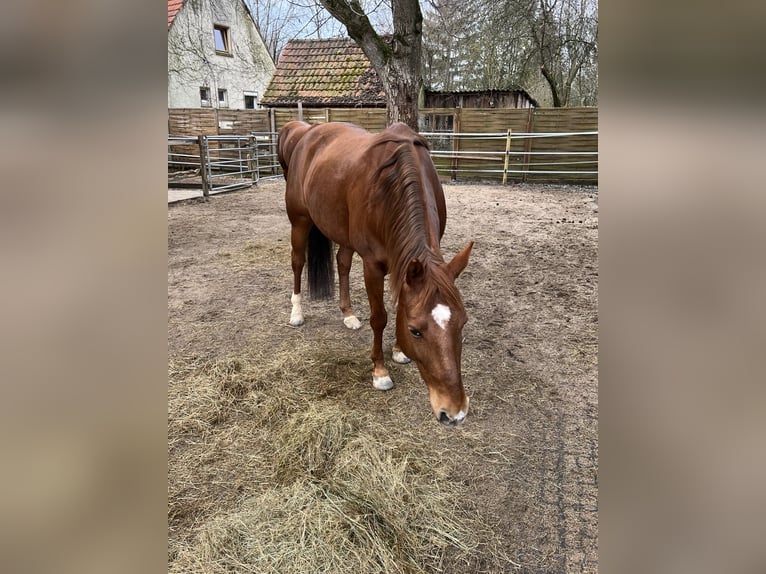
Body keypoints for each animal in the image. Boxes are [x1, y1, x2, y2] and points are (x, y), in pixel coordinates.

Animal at [280, 121, 474, 428]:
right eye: (415, 331)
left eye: (463, 323)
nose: (454, 413)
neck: (391, 186)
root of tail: (308, 132)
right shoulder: (372, 265)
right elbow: (380, 317)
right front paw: (380, 371)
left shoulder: (404, 264)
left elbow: (398, 306)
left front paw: (398, 351)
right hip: (299, 221)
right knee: (298, 262)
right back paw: (296, 312)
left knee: (342, 263)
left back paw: (348, 314)